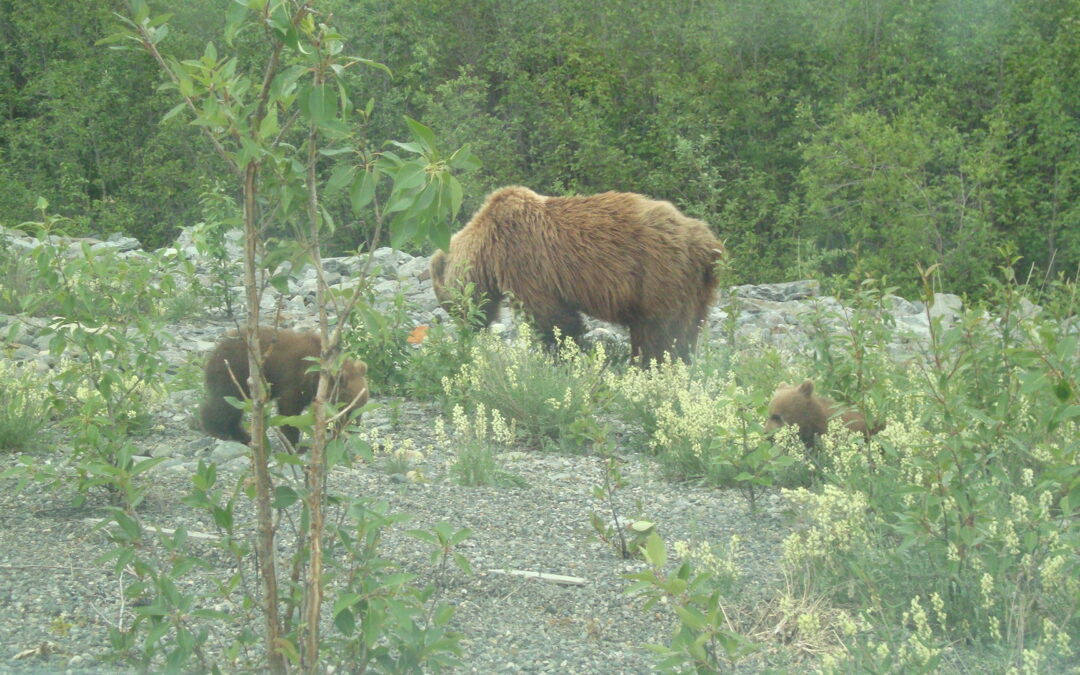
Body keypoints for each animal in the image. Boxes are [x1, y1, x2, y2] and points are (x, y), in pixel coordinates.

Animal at [200, 328, 369, 447]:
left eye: (361, 408)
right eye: (349, 409)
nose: (353, 429)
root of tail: (214, 353)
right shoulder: (294, 378)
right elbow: (289, 411)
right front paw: (296, 443)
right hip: (234, 375)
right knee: (225, 405)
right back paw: (220, 431)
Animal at [429, 185, 725, 362]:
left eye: (446, 304)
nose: (468, 328)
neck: (488, 248)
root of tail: (707, 243)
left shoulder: (524, 258)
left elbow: (550, 314)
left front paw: (561, 350)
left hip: (658, 273)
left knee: (659, 328)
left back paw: (649, 361)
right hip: (698, 289)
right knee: (688, 326)